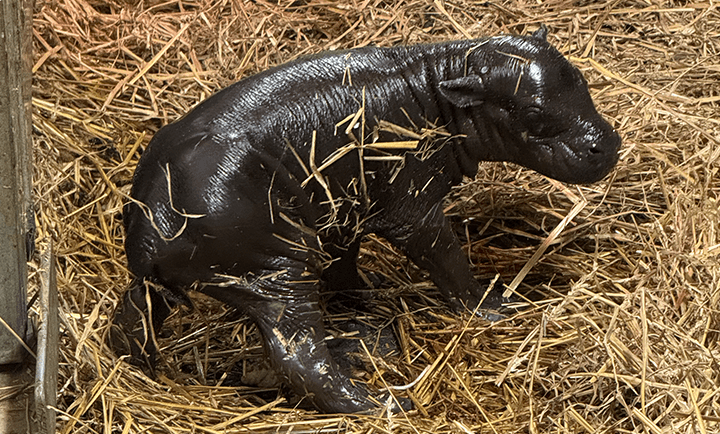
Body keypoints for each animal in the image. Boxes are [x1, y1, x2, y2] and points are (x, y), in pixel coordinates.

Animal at [109, 26, 620, 413]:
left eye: (580, 77)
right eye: (531, 110)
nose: (608, 145)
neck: (440, 84)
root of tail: (150, 230)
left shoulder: (344, 209)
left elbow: (345, 264)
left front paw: (368, 297)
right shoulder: (411, 209)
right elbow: (447, 260)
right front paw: (494, 307)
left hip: (178, 281)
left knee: (133, 317)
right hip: (276, 274)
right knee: (299, 357)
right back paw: (382, 403)